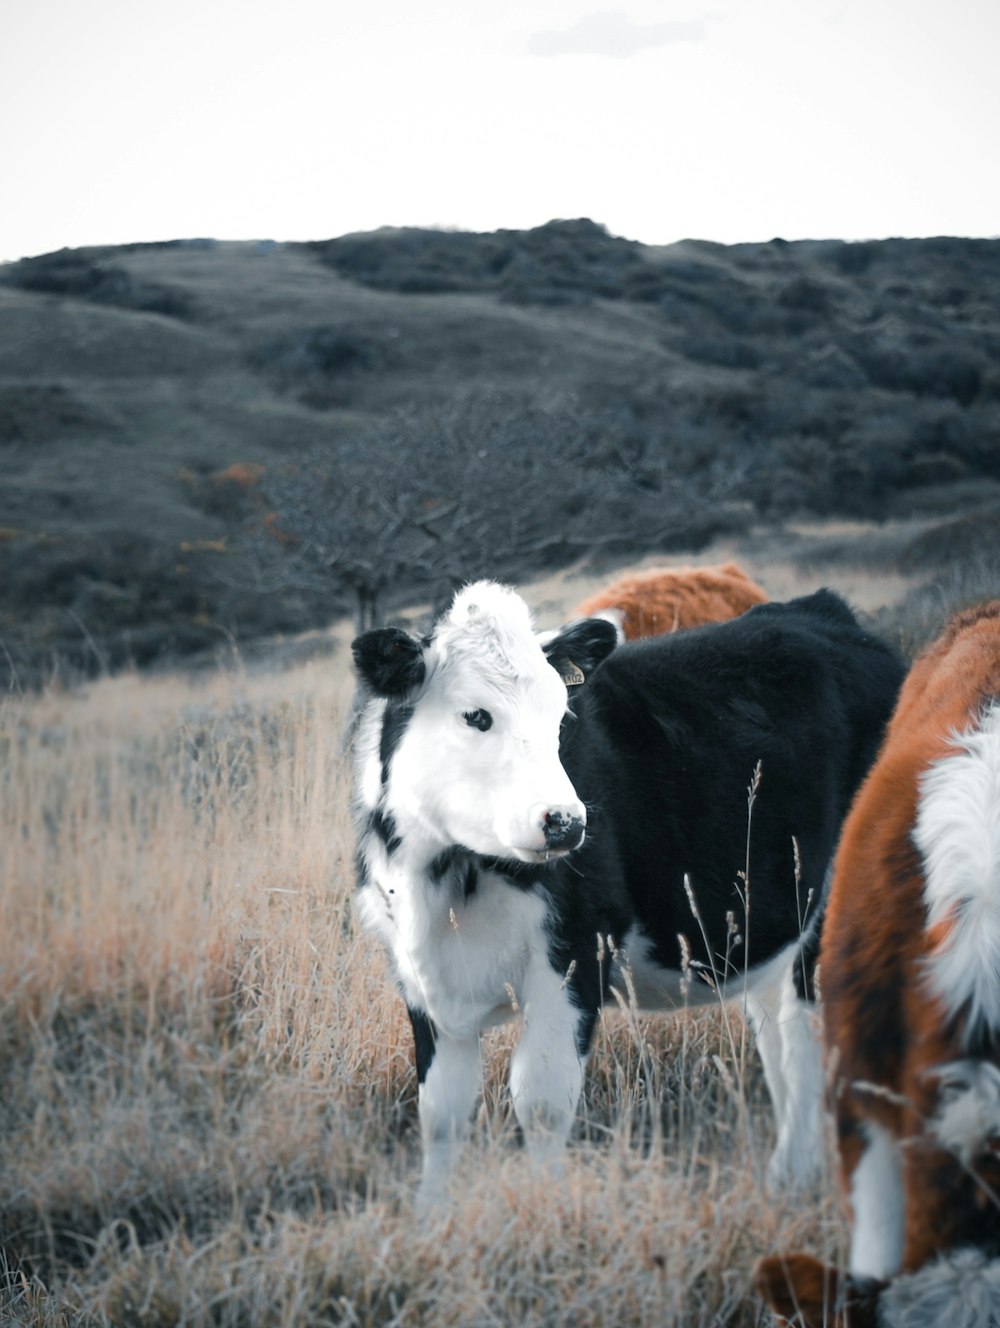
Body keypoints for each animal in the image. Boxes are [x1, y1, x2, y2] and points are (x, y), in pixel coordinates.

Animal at [353, 581, 903, 1205]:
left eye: (560, 716)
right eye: (476, 716)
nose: (565, 822)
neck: (449, 879)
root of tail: (823, 609)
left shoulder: (574, 955)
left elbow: (541, 1102)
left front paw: (546, 1206)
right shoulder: (421, 976)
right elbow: (441, 1115)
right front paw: (430, 1215)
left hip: (833, 910)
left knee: (810, 1041)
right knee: (779, 1041)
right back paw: (791, 1173)